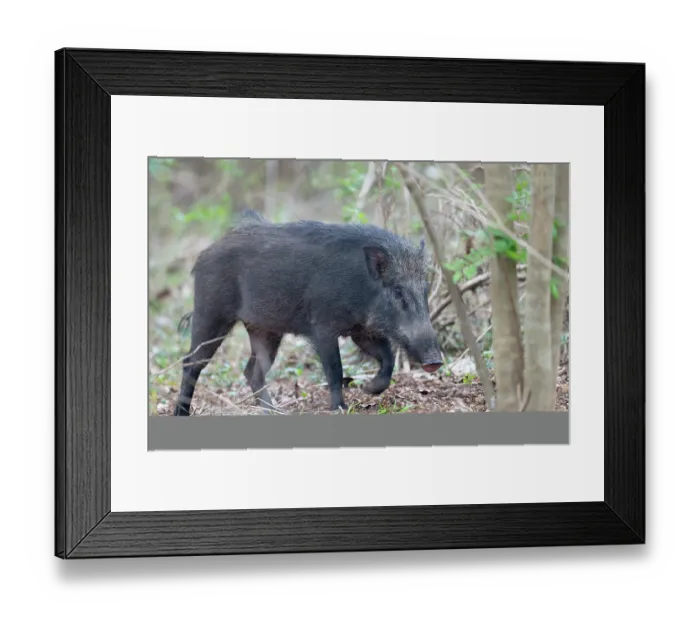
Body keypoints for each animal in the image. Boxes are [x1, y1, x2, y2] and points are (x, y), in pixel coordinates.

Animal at [173, 209, 443, 416]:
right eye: (397, 292)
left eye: (425, 290)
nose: (435, 361)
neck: (362, 285)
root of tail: (202, 256)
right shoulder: (322, 327)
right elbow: (335, 370)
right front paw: (340, 408)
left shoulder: (360, 331)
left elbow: (387, 358)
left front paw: (368, 389)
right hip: (211, 313)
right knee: (191, 362)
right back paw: (181, 413)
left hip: (264, 330)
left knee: (252, 371)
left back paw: (273, 412)